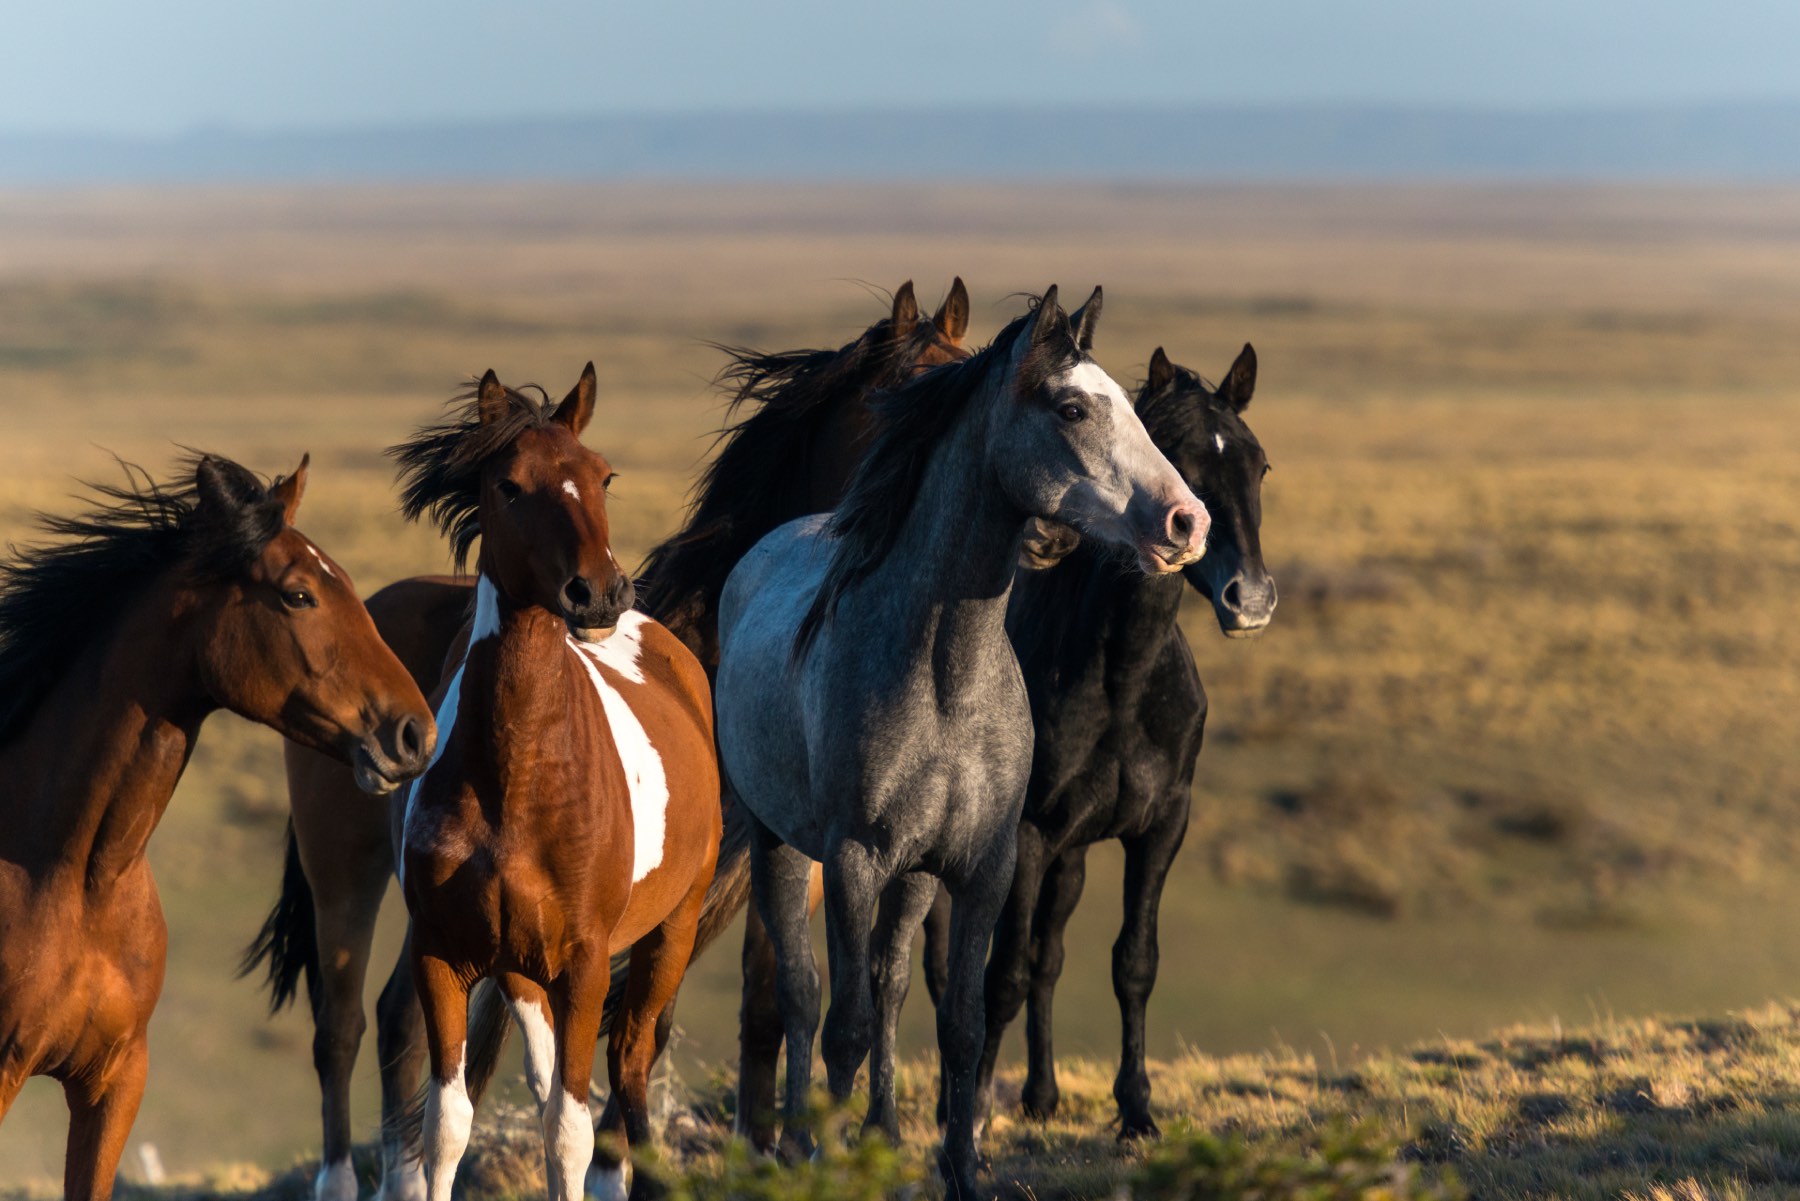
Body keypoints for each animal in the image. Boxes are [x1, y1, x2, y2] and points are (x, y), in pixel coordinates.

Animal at [390, 367, 720, 1201]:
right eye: (510, 484)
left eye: (603, 475)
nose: (598, 593)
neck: (517, 777)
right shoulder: (443, 956)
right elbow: (448, 1127)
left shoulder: (587, 964)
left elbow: (570, 1129)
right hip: (520, 970)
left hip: (672, 930)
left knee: (627, 1068)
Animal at [709, 286, 1202, 1195]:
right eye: (1072, 407)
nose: (1189, 520)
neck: (945, 676)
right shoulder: (855, 860)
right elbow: (843, 1024)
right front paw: (838, 1161)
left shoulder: (982, 865)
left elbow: (964, 1021)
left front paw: (961, 1165)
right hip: (782, 845)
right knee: (798, 991)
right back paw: (798, 1141)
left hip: (912, 875)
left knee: (893, 981)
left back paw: (880, 1131)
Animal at [928, 340, 1281, 1145]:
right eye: (1180, 456)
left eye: (1259, 465)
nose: (1249, 599)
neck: (1121, 675)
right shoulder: (1026, 834)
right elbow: (1003, 974)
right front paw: (976, 1114)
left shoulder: (1159, 825)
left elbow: (1132, 962)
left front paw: (1136, 1109)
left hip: (1073, 855)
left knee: (1049, 954)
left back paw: (1042, 1093)